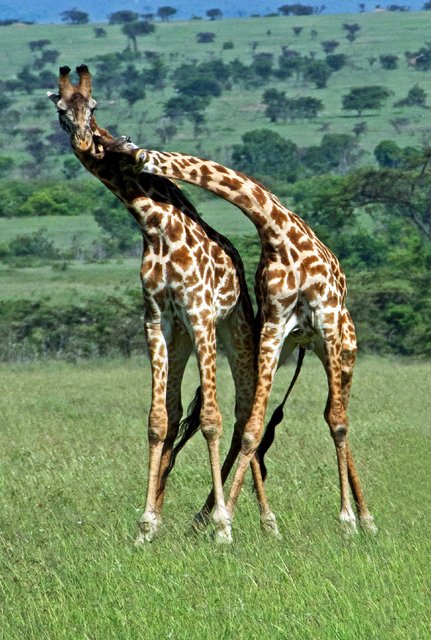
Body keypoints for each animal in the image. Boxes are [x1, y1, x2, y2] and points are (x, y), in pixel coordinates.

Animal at [48, 65, 279, 544]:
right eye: (61, 110)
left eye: (93, 106)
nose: (86, 140)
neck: (154, 224)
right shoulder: (157, 320)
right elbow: (158, 421)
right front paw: (146, 525)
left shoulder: (201, 315)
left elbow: (210, 419)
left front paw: (222, 527)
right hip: (183, 341)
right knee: (177, 416)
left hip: (235, 332)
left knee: (245, 411)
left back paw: (266, 521)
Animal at [95, 139, 378, 536]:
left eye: (120, 151)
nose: (98, 146)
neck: (276, 228)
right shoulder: (275, 324)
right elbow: (253, 429)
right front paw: (223, 519)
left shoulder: (325, 318)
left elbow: (335, 422)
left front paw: (348, 520)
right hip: (289, 344)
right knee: (267, 418)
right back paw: (201, 518)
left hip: (341, 344)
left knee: (337, 416)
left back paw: (365, 518)